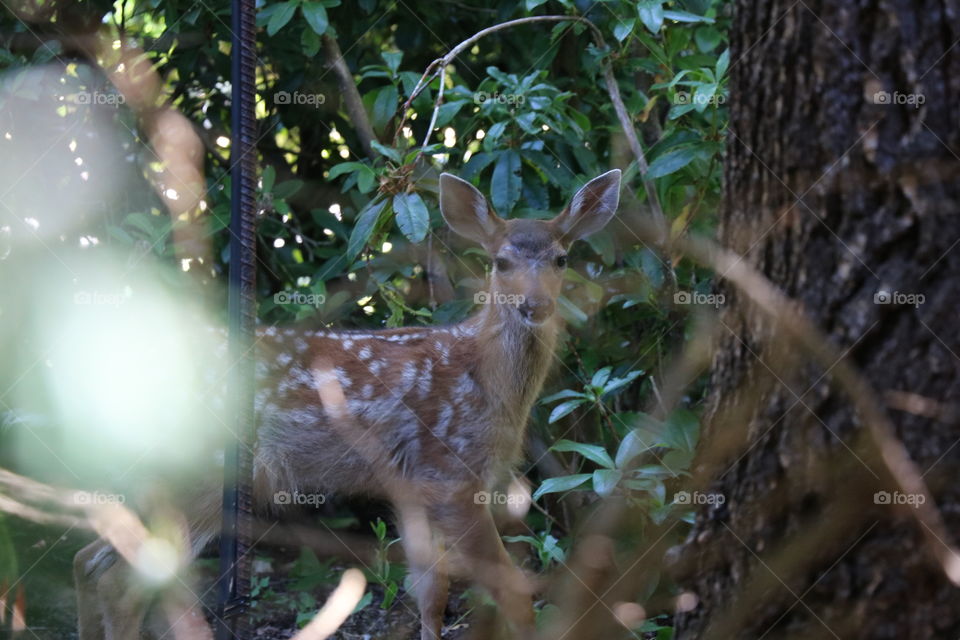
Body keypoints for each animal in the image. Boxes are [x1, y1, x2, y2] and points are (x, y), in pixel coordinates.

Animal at [77, 169, 624, 640]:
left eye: (561, 259)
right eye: (501, 262)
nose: (536, 306)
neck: (487, 379)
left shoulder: (411, 486)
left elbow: (432, 591)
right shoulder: (451, 475)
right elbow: (510, 592)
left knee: (90, 562)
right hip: (203, 475)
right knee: (123, 583)